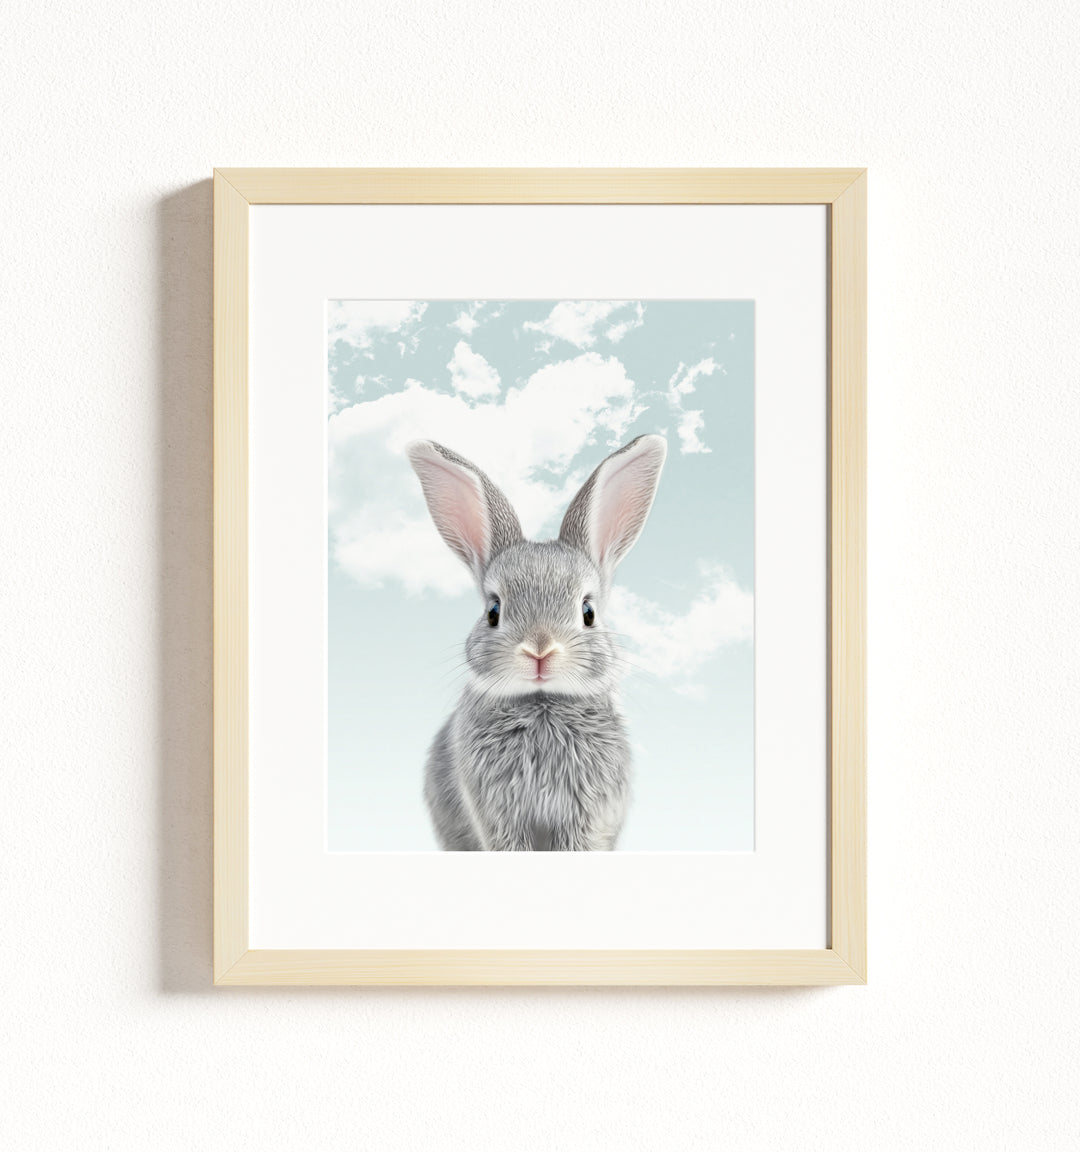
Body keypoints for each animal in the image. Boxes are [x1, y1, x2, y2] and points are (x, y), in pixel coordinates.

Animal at [407, 433, 667, 851]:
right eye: (494, 611)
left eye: (588, 612)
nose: (540, 650)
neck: (542, 701)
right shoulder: (498, 814)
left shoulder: (585, 815)